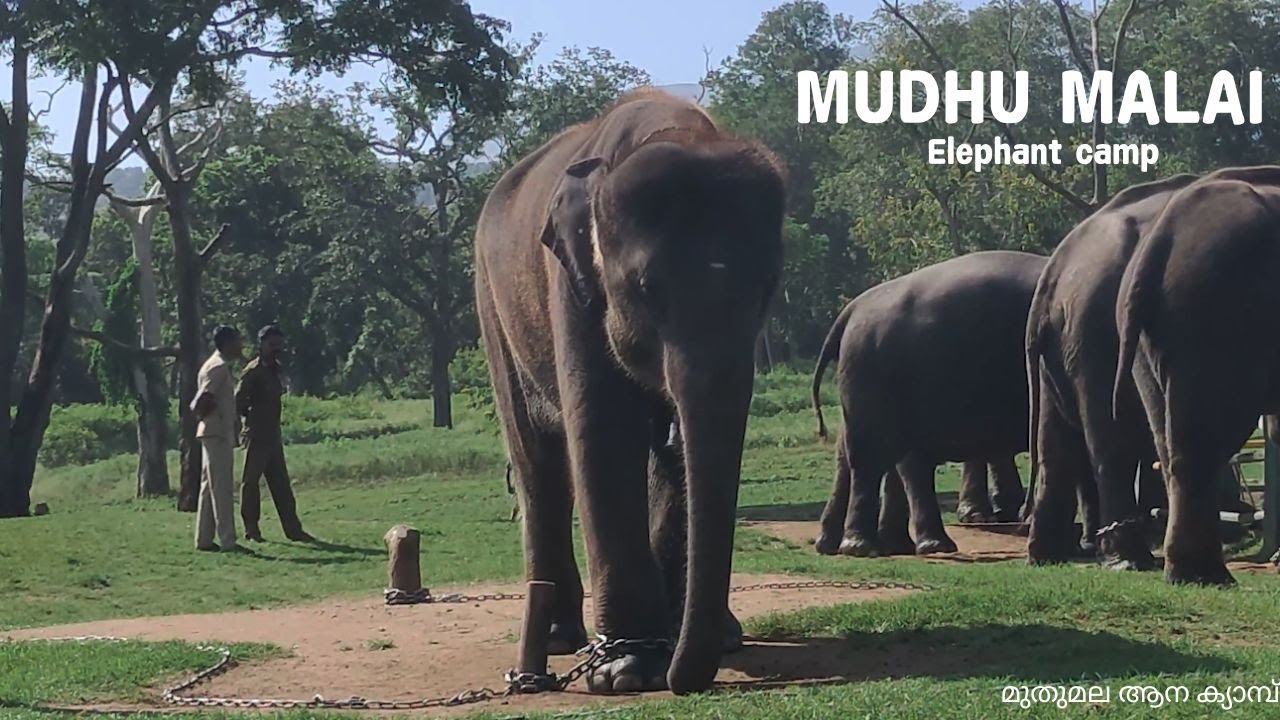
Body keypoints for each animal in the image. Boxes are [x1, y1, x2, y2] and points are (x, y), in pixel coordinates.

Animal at [472, 87, 785, 695]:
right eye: (646, 288)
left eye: (767, 288)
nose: (685, 680)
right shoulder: (571, 288)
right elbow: (605, 432)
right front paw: (627, 671)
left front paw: (686, 646)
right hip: (490, 306)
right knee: (538, 463)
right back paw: (556, 640)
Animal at [1023, 173, 1199, 571]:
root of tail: (1054, 270)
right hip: (1095, 336)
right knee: (1110, 439)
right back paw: (1129, 559)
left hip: (1059, 349)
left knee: (1055, 447)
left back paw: (1048, 556)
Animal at [1113, 166, 1280, 585]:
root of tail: (1162, 237)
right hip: (1217, 315)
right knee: (1206, 440)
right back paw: (1204, 576)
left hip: (1151, 335)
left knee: (1168, 440)